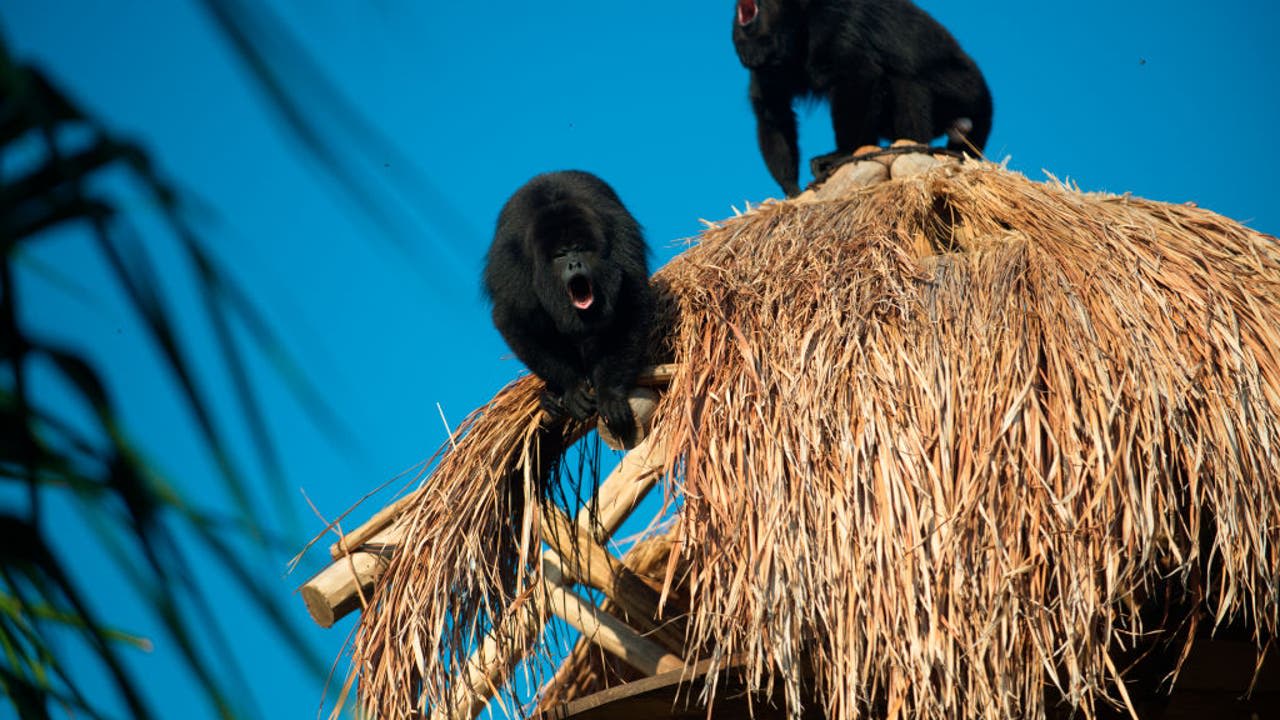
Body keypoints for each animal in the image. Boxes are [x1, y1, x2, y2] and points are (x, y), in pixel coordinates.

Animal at [483, 170, 655, 440]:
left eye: (581, 249)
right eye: (561, 255)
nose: (575, 264)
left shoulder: (620, 239)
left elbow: (631, 303)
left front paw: (609, 393)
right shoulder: (513, 267)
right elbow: (512, 321)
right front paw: (571, 388)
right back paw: (550, 397)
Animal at [737, 0, 993, 194]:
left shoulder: (831, 23)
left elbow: (859, 75)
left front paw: (843, 154)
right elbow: (773, 113)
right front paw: (791, 189)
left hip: (963, 92)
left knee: (906, 79)